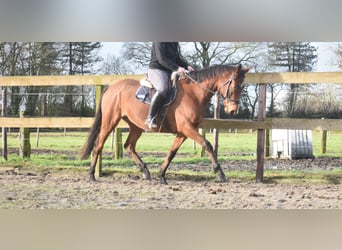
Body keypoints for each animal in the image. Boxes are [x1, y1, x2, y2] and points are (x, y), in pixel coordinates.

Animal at [81, 63, 250, 185]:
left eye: (242, 87)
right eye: (235, 86)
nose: (233, 111)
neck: (193, 94)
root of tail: (111, 87)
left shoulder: (183, 133)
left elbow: (171, 153)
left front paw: (161, 175)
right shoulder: (187, 129)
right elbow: (207, 144)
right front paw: (220, 173)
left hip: (136, 126)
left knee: (129, 146)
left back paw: (146, 172)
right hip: (109, 121)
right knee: (99, 144)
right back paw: (91, 175)